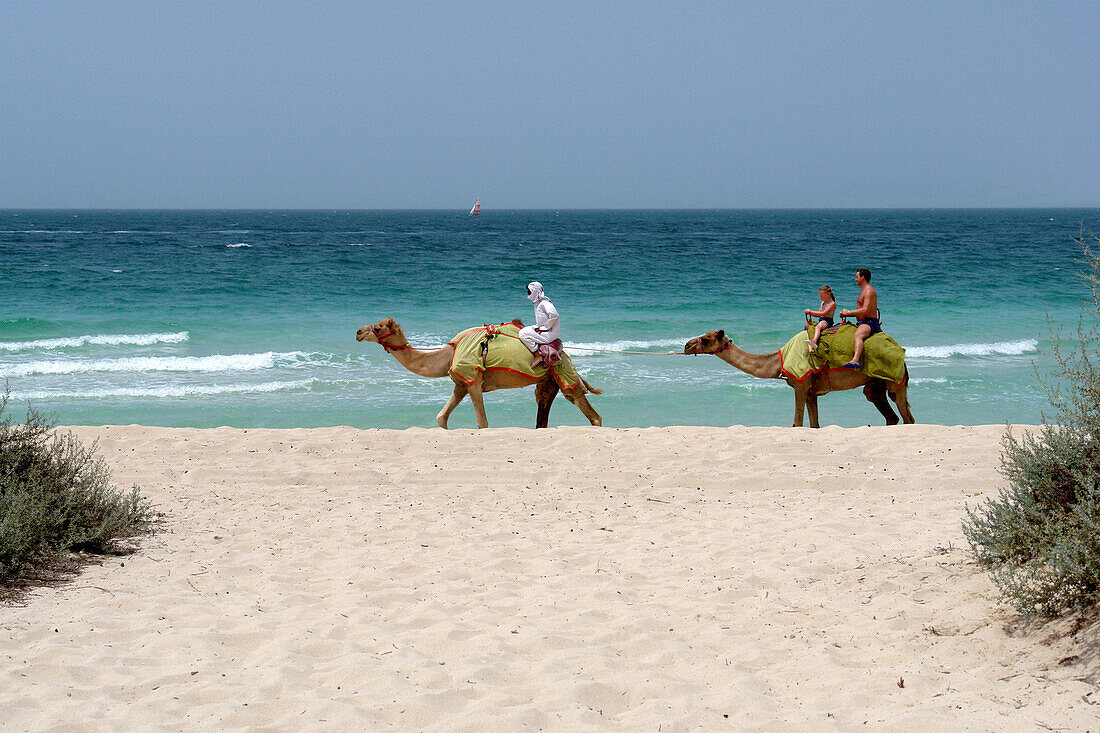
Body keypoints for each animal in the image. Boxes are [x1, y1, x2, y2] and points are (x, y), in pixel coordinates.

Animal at [356, 314, 602, 429]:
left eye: (379, 327)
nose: (358, 331)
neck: (448, 354)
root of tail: (565, 356)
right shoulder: (460, 383)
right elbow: (441, 418)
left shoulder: (473, 379)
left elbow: (482, 422)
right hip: (548, 381)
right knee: (543, 410)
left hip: (564, 374)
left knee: (589, 411)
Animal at [682, 325, 915, 424]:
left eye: (706, 339)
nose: (686, 345)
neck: (778, 360)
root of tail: (901, 352)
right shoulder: (811, 392)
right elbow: (814, 424)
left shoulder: (801, 385)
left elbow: (796, 423)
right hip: (875, 383)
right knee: (885, 409)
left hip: (895, 380)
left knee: (906, 415)